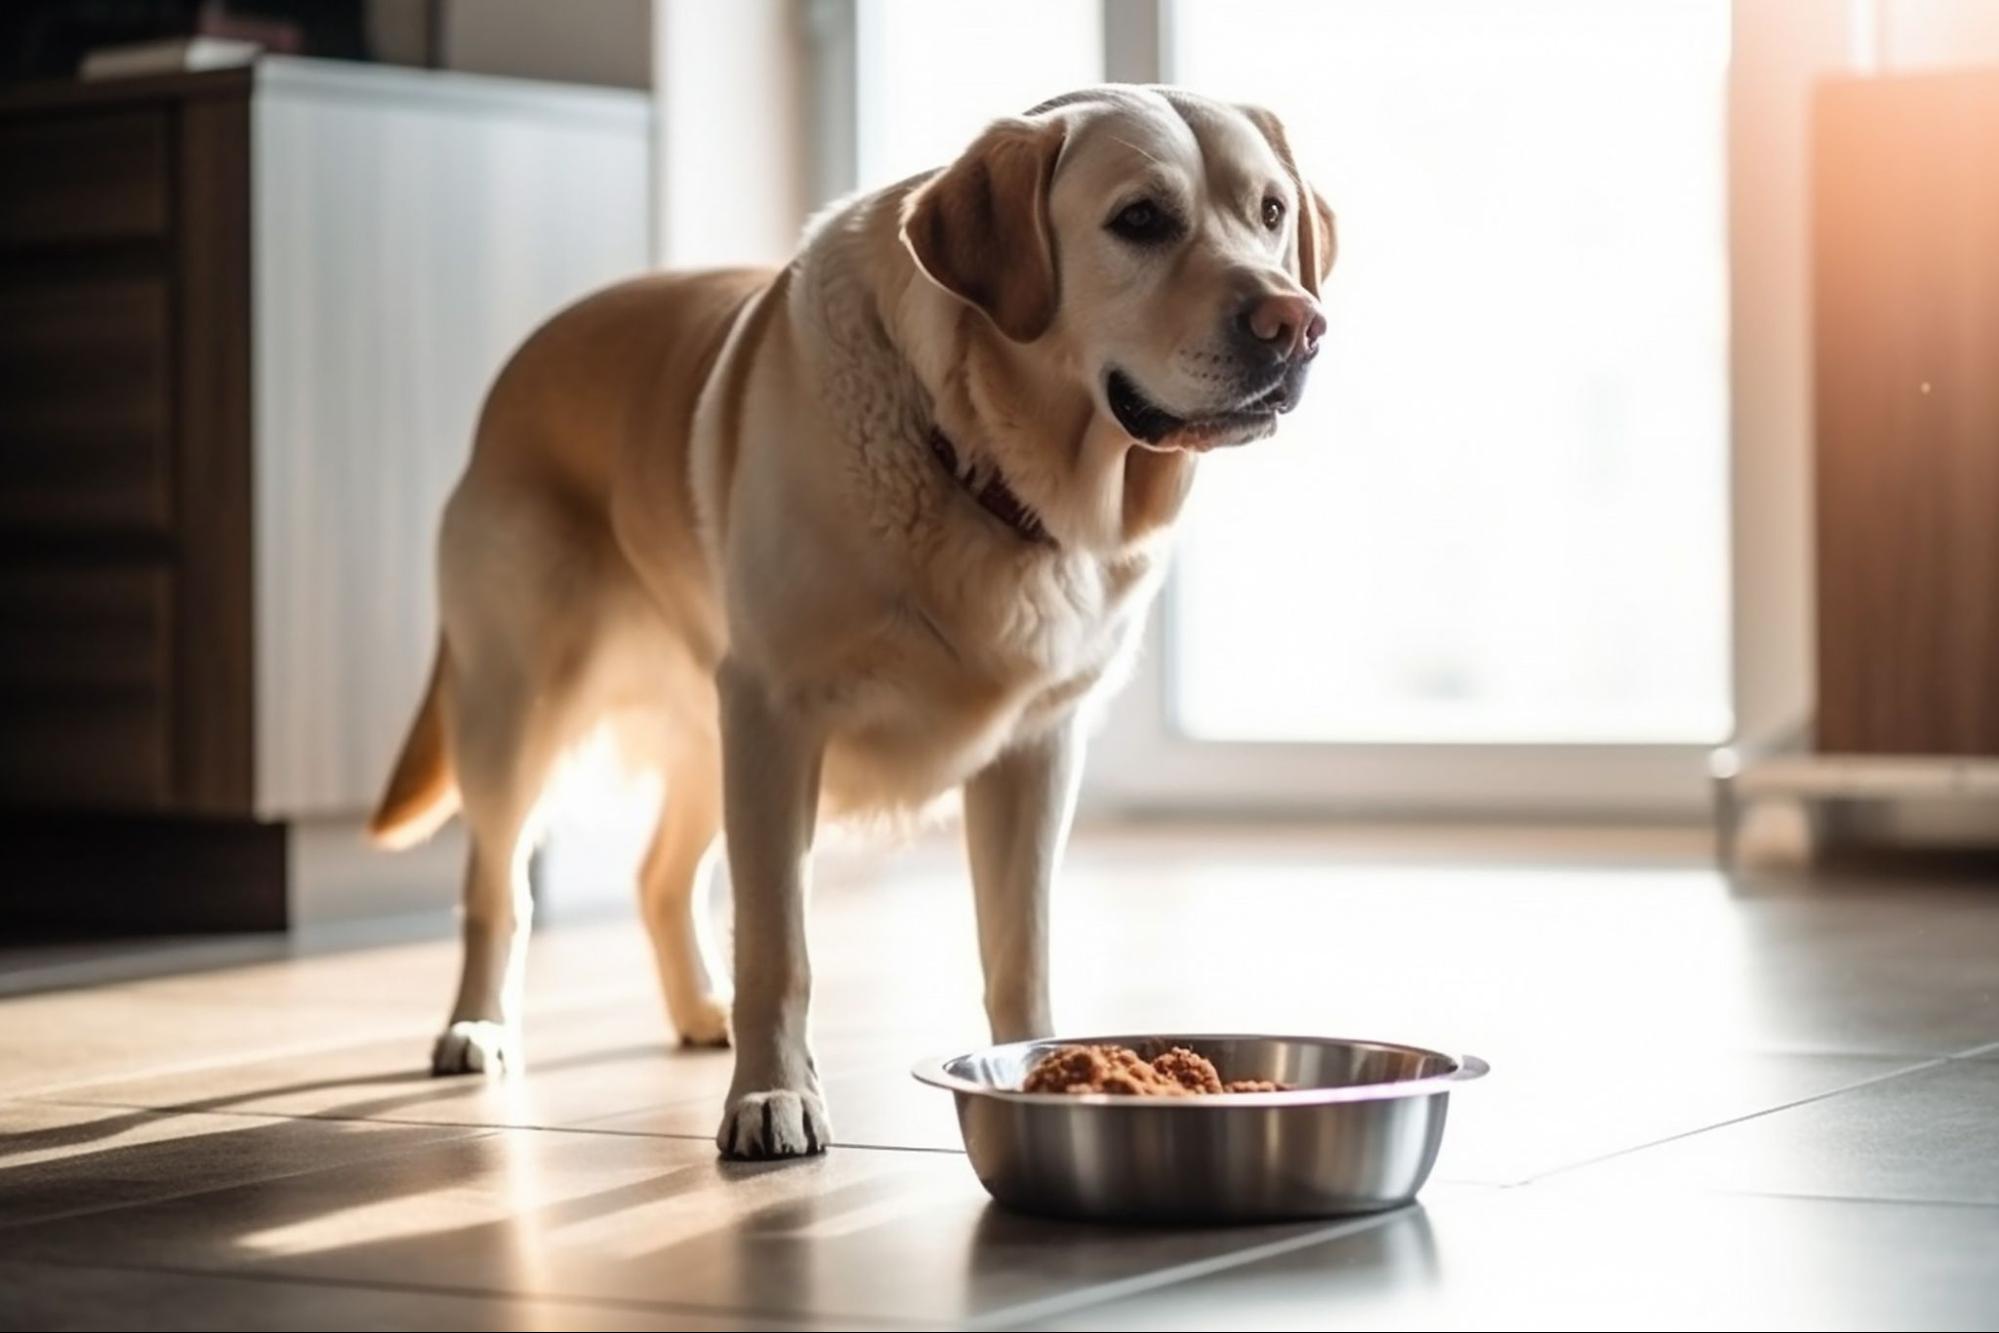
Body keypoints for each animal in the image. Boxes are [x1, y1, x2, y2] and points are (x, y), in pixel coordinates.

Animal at [371, 88, 1343, 1159]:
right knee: (497, 889)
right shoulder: (777, 713)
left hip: (706, 731)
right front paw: (772, 1095)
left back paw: (698, 1009)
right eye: (1139, 219)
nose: (1296, 322)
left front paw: (1040, 1069)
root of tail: (523, 357)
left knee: (659, 877)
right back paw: (478, 1024)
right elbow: (780, 948)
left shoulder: (1036, 750)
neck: (981, 460)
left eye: (1269, 212)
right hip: (519, 707)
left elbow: (1019, 948)